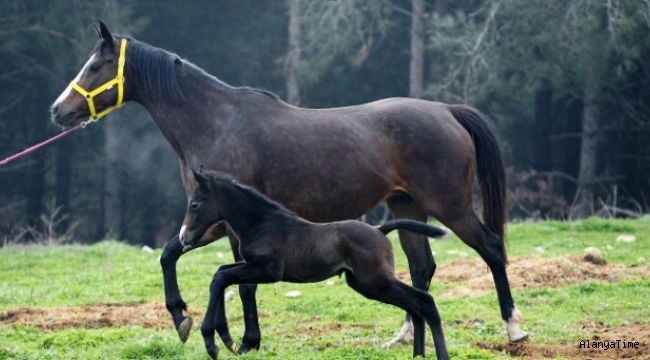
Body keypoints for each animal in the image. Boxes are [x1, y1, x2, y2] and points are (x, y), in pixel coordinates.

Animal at [180, 169, 448, 360]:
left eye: (195, 204)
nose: (184, 237)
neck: (263, 224)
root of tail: (380, 229)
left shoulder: (268, 270)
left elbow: (220, 278)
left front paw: (212, 341)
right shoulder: (252, 266)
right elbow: (221, 274)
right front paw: (226, 339)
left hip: (376, 281)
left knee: (424, 301)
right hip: (365, 284)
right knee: (415, 306)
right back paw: (418, 356)